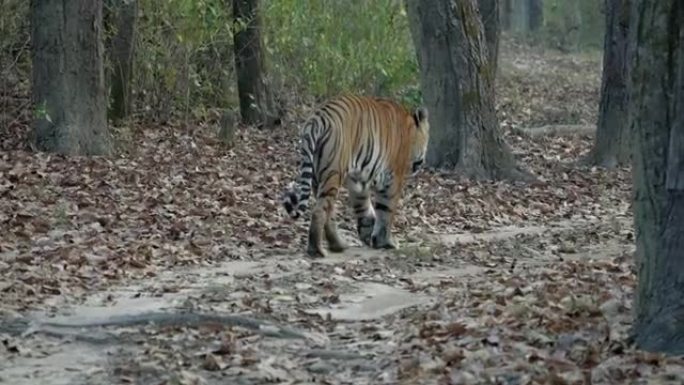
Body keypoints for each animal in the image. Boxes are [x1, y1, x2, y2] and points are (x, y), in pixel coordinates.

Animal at [280, 94, 430, 258]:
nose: (423, 160)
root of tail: (317, 119)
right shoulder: (393, 179)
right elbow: (386, 211)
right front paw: (385, 242)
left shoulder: (359, 182)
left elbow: (364, 209)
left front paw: (368, 235)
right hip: (333, 173)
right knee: (319, 212)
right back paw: (317, 250)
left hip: (317, 177)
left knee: (328, 213)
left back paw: (338, 245)